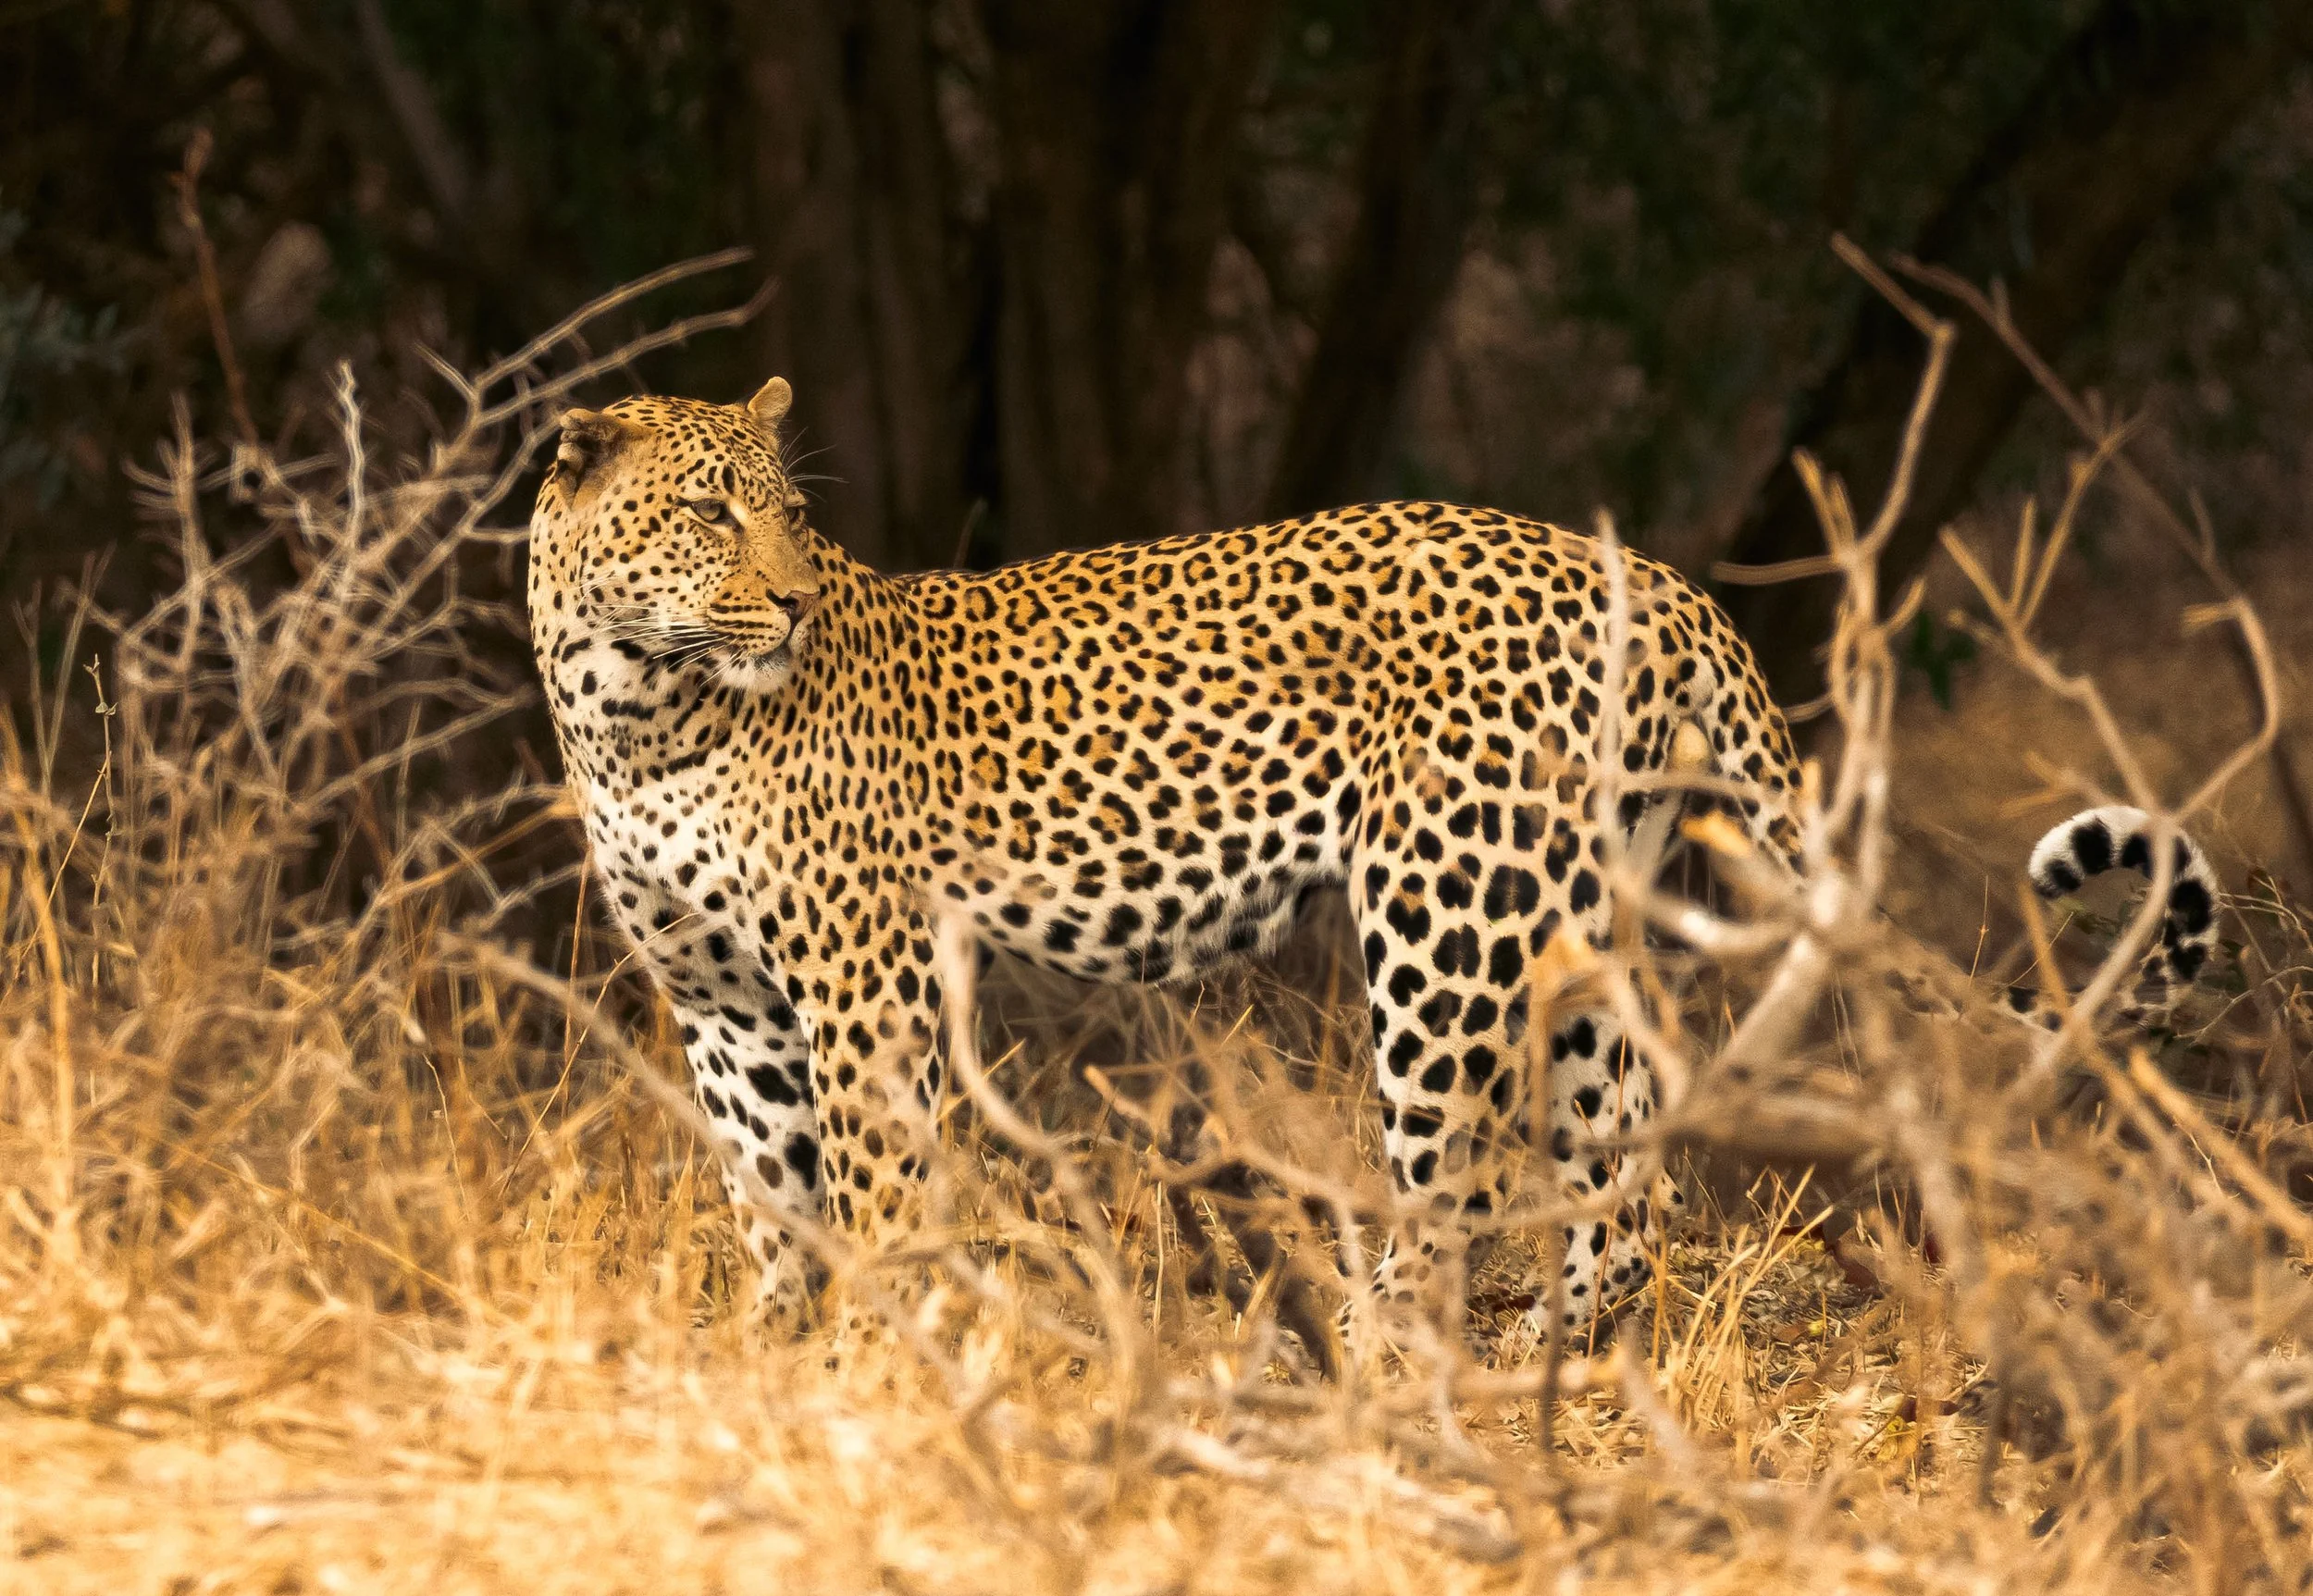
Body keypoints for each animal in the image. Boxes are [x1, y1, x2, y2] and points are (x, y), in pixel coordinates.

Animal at [525, 376, 2221, 1345]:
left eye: (786, 513)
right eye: (708, 512)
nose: (795, 602)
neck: (632, 709)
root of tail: (1660, 580)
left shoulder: (857, 978)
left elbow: (875, 1185)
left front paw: (886, 1352)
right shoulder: (724, 1000)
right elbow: (769, 1190)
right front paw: (776, 1348)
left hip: (1443, 916)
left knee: (1459, 1177)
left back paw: (1365, 1345)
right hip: (1568, 913)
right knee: (1630, 1153)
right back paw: (1556, 1347)